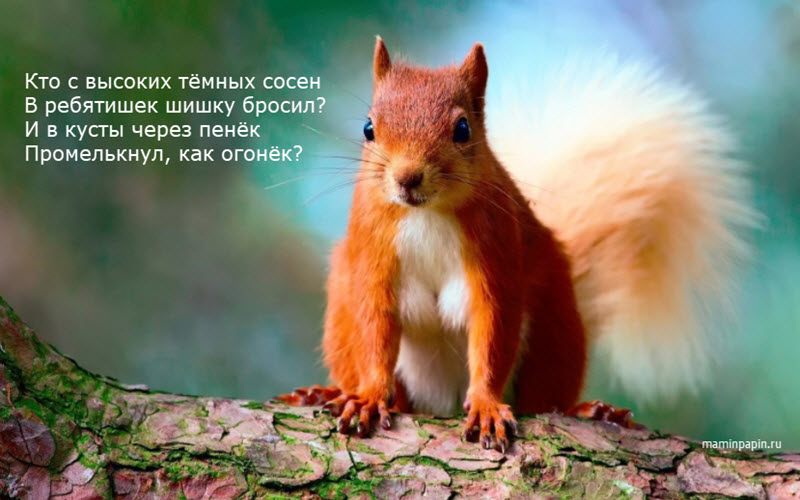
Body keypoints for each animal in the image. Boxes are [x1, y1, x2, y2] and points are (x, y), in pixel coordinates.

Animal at [277, 38, 754, 452]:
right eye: (368, 128)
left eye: (463, 129)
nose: (407, 177)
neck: (426, 213)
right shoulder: (373, 253)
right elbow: (375, 328)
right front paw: (371, 396)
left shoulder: (497, 254)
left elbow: (492, 331)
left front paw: (487, 405)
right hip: (341, 304)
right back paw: (324, 392)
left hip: (555, 324)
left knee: (543, 399)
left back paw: (591, 411)